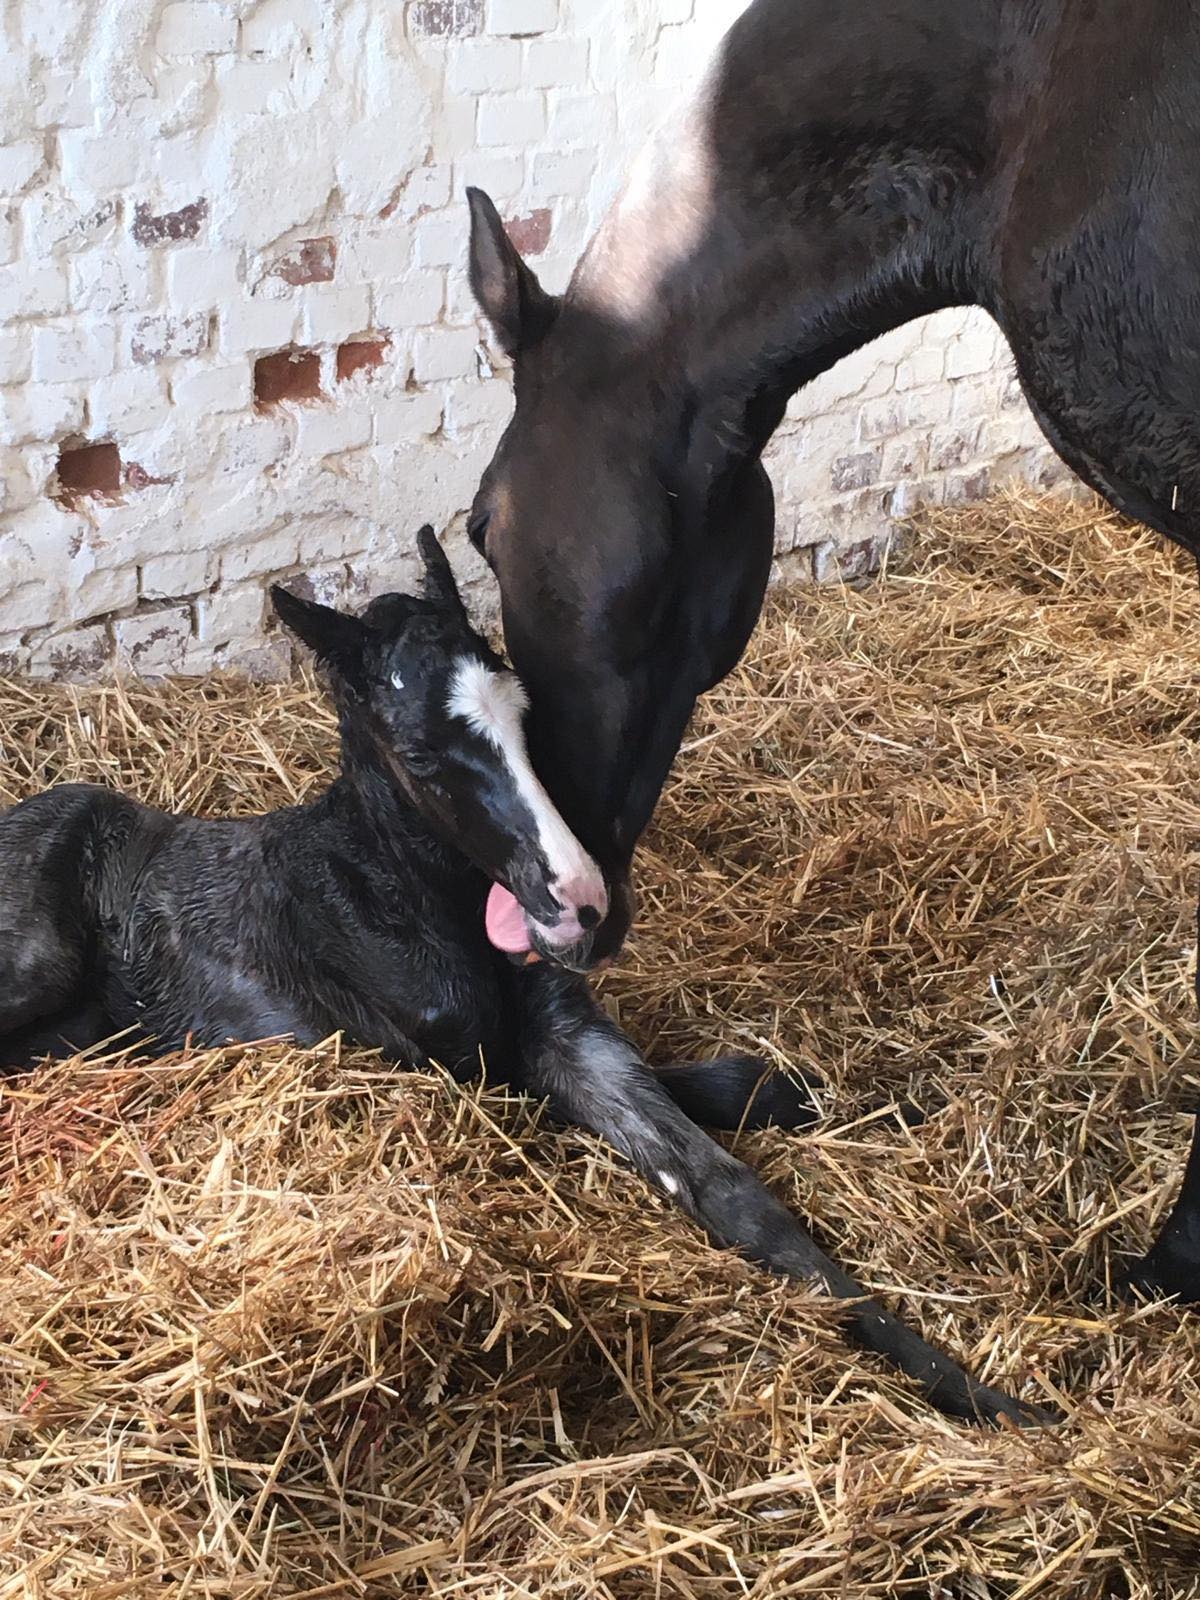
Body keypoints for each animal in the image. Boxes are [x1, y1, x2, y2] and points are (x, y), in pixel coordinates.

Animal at [0, 531, 1036, 1433]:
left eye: (525, 711)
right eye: (421, 756)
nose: (580, 902)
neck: (389, 893)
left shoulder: (571, 1033)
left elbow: (729, 1177)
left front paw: (990, 1396)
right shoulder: (458, 1067)